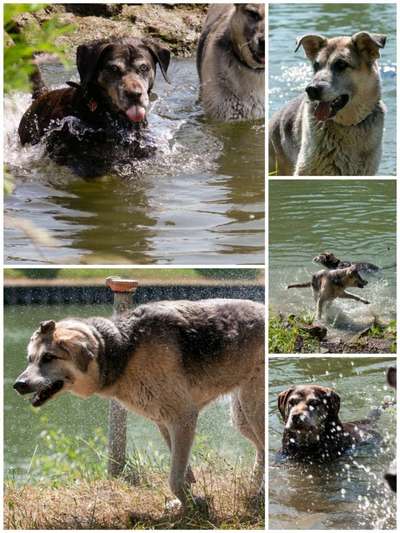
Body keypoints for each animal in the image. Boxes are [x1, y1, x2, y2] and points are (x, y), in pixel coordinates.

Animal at [13, 298, 266, 510]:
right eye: (30, 359)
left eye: (48, 357)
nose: (18, 384)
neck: (123, 349)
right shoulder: (164, 421)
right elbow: (182, 470)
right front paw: (187, 500)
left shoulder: (183, 417)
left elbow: (174, 478)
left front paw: (193, 506)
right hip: (241, 417)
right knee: (262, 450)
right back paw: (255, 491)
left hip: (252, 408)